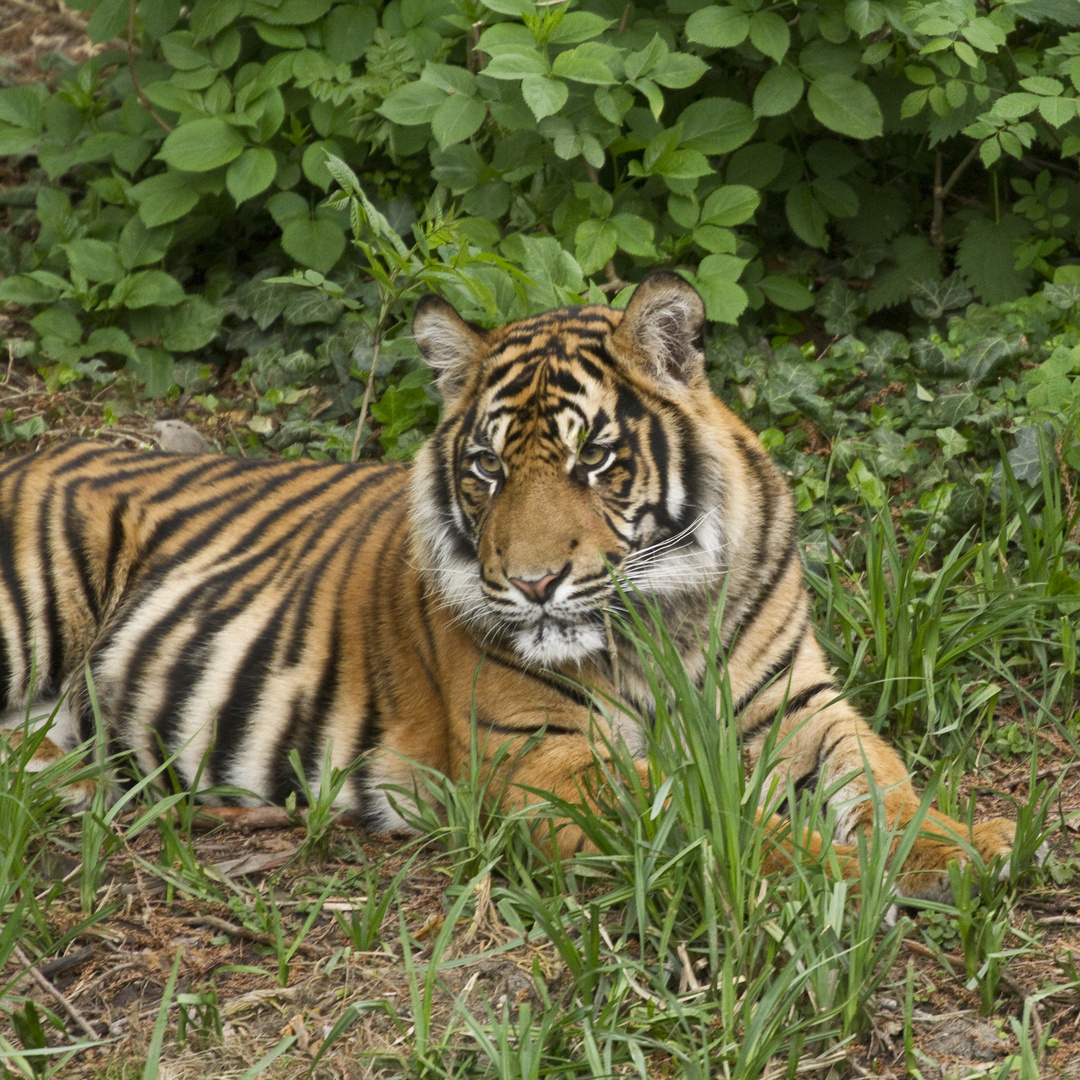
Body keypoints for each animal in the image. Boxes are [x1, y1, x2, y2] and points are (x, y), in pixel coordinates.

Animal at [0, 274, 1028, 898]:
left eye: (595, 458)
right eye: (488, 469)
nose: (533, 585)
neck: (667, 617)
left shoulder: (798, 706)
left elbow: (883, 779)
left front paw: (963, 847)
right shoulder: (544, 759)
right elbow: (723, 819)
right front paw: (854, 873)